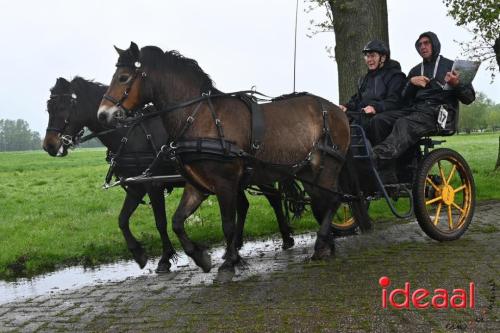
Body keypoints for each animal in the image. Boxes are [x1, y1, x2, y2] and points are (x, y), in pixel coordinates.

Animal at [44, 76, 296, 272]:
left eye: (64, 107)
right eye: (48, 108)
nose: (49, 145)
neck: (129, 134)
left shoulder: (152, 185)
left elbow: (160, 222)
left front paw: (165, 259)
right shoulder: (136, 186)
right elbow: (122, 220)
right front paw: (139, 254)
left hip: (255, 173)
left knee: (273, 198)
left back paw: (285, 238)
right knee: (243, 205)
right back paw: (233, 248)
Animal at [96, 41, 372, 272]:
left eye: (123, 77)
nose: (103, 114)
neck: (201, 118)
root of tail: (337, 110)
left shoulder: (225, 183)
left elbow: (227, 223)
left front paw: (229, 260)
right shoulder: (198, 185)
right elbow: (177, 221)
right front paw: (200, 256)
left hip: (328, 167)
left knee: (334, 200)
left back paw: (319, 245)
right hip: (309, 171)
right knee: (321, 202)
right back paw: (326, 245)